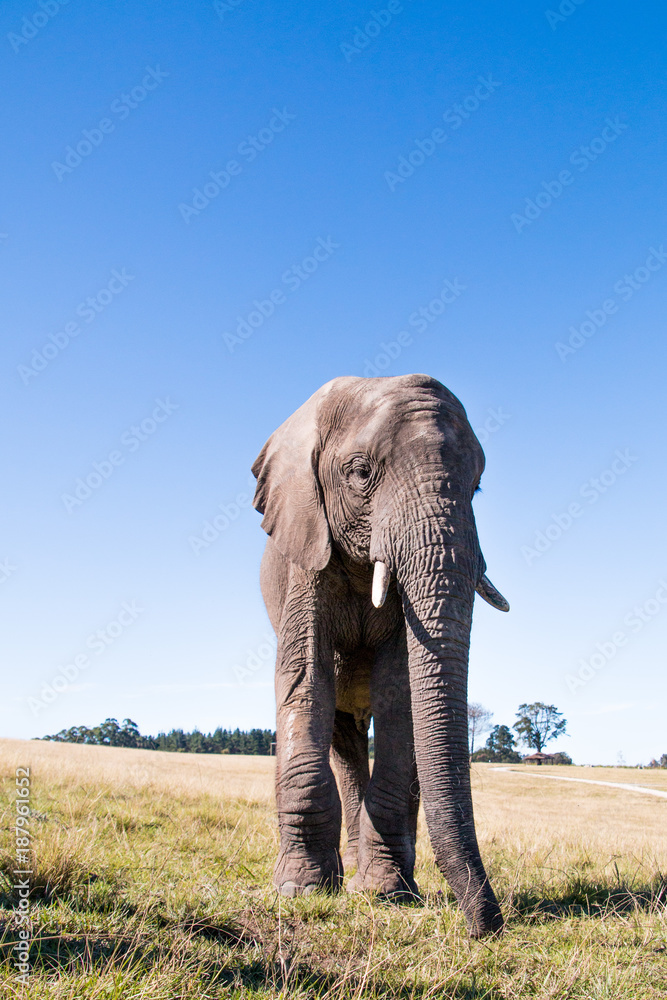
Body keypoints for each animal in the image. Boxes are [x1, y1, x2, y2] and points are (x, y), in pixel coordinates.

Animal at [251, 374, 509, 937]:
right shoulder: (307, 551)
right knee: (341, 736)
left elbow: (401, 691)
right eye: (360, 473)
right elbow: (304, 676)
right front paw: (300, 890)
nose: (489, 927)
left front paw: (386, 893)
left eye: (477, 486)